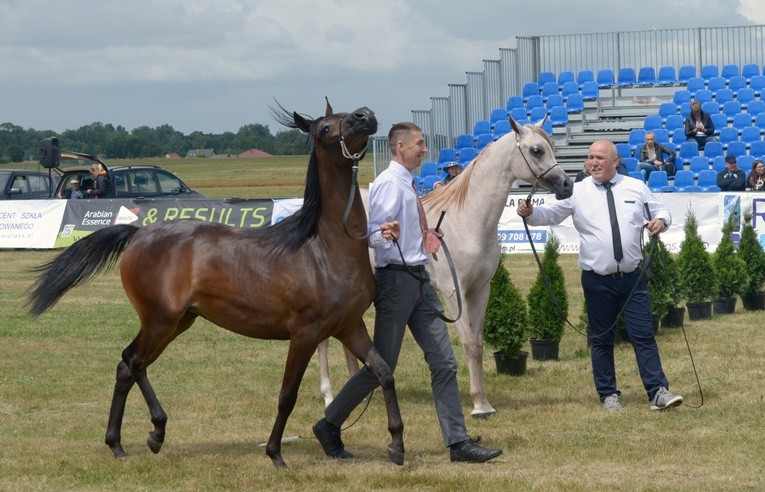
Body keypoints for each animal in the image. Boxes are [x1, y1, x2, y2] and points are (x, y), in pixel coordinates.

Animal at [28, 101, 406, 468]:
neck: (324, 248)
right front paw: (275, 453)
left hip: (177, 323)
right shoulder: (305, 333)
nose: (365, 115)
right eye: (327, 128)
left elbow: (384, 372)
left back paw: (118, 443)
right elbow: (287, 395)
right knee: (133, 362)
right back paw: (155, 432)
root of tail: (139, 232)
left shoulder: (350, 327)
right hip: (160, 320)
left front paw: (397, 444)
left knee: (129, 367)